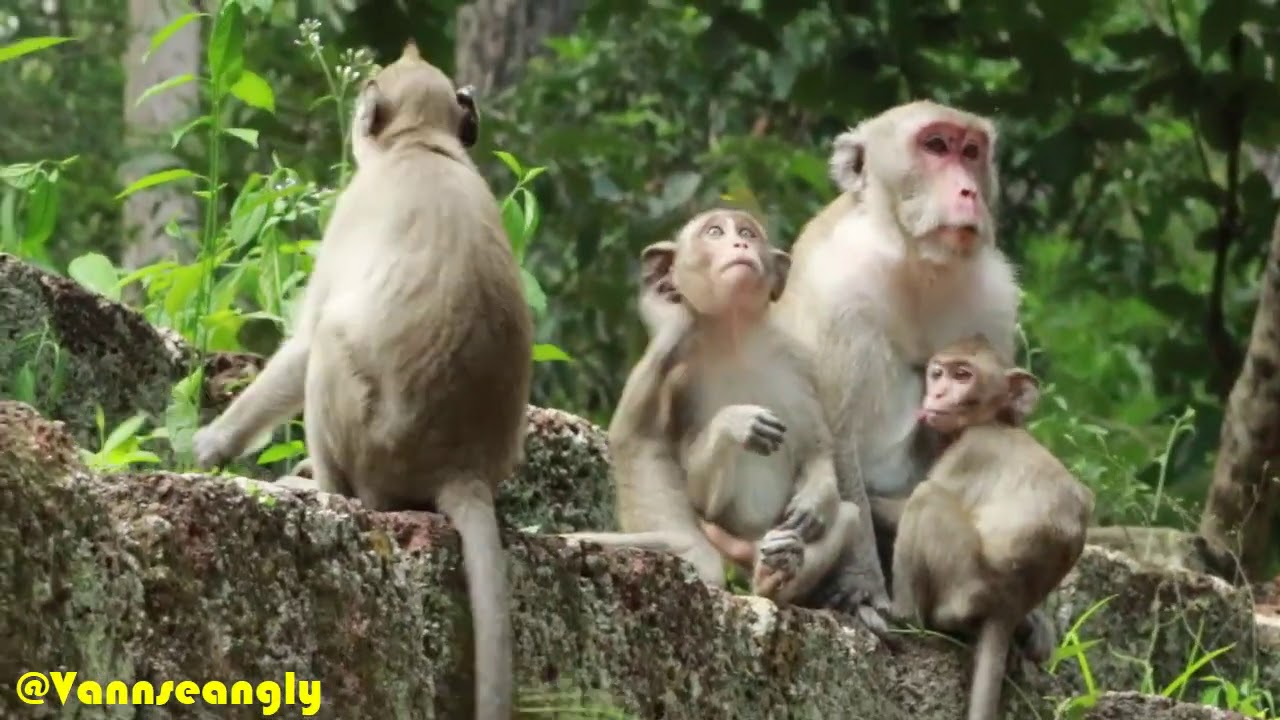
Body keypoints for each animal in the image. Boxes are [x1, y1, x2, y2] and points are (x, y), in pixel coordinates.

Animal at [189, 42, 528, 720]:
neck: (421, 145)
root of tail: (461, 465)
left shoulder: (352, 210)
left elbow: (304, 341)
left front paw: (212, 445)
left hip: (373, 442)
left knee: (328, 341)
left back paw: (323, 492)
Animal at [563, 209, 863, 606]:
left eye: (748, 233)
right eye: (716, 232)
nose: (739, 244)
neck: (734, 336)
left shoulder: (798, 359)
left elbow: (816, 448)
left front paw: (814, 500)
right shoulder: (672, 357)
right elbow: (644, 443)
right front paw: (734, 423)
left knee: (847, 515)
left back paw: (776, 570)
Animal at [771, 100, 1023, 629]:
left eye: (971, 152)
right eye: (936, 146)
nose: (968, 191)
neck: (914, 257)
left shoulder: (993, 301)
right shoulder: (840, 287)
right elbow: (831, 433)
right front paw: (862, 586)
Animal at [890, 335, 1094, 720]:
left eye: (962, 375)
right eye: (937, 374)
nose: (937, 393)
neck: (996, 420)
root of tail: (1008, 602)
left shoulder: (971, 450)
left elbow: (904, 505)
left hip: (966, 581)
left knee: (926, 498)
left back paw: (904, 615)